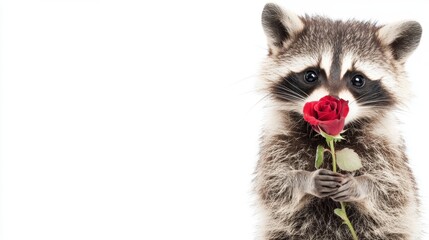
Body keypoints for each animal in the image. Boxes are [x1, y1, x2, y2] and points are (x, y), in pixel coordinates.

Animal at [254, 2, 422, 240]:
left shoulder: (387, 145)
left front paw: (360, 184)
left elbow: (392, 190)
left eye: (358, 79)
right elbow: (273, 185)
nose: (331, 102)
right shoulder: (277, 138)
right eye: (310, 75)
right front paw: (304, 179)